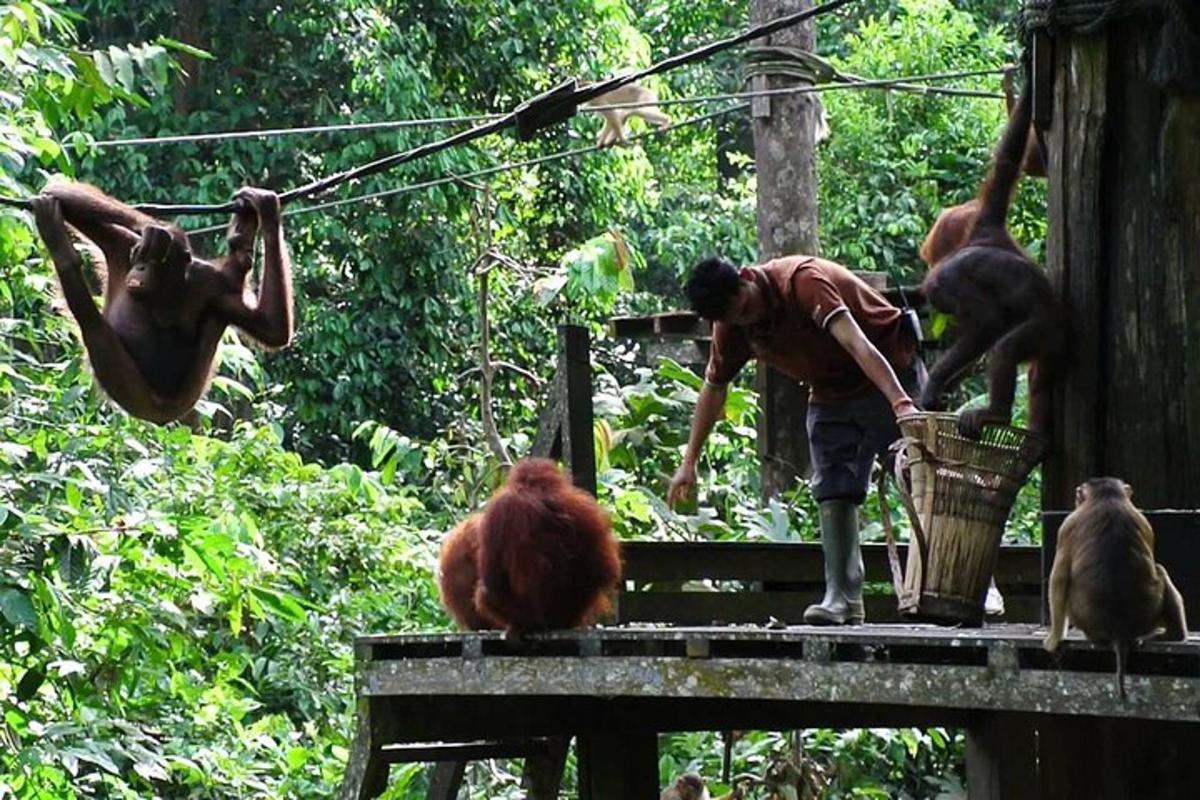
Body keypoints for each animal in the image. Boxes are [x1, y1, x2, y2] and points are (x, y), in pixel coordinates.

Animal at [1046, 479, 1185, 695]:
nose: (1076, 500)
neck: (1106, 497)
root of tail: (1120, 631)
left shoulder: (1067, 525)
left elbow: (1058, 579)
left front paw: (1053, 640)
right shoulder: (1142, 519)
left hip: (1085, 621)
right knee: (1160, 571)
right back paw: (1172, 635)